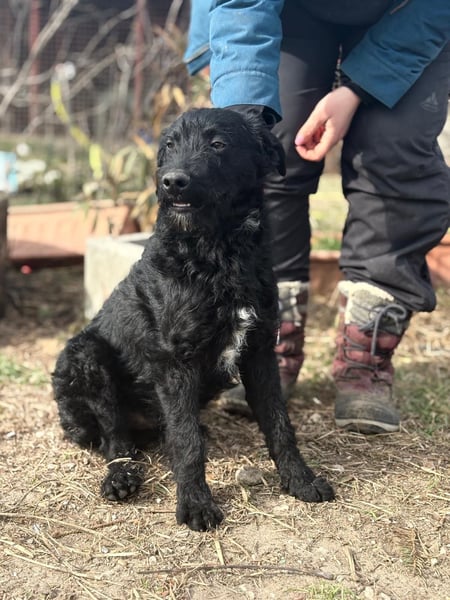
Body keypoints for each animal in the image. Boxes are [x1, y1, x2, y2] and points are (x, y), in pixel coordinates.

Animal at [52, 108, 334, 531]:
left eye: (218, 144)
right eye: (169, 145)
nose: (172, 182)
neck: (218, 255)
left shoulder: (260, 353)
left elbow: (279, 424)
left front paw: (300, 479)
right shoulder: (176, 362)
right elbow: (186, 442)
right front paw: (196, 503)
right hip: (84, 356)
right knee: (115, 435)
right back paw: (121, 476)